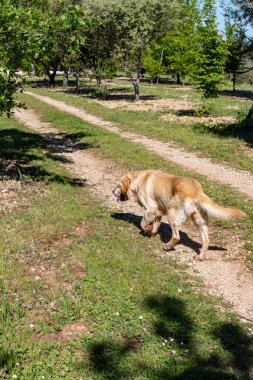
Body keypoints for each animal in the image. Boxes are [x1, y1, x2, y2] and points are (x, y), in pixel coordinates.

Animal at [112, 171, 245, 260]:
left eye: (118, 186)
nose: (112, 192)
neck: (138, 180)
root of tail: (196, 191)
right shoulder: (159, 211)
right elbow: (156, 224)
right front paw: (152, 232)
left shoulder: (151, 209)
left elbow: (143, 223)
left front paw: (148, 231)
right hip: (200, 222)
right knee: (206, 240)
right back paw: (200, 257)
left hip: (171, 215)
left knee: (176, 236)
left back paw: (167, 246)